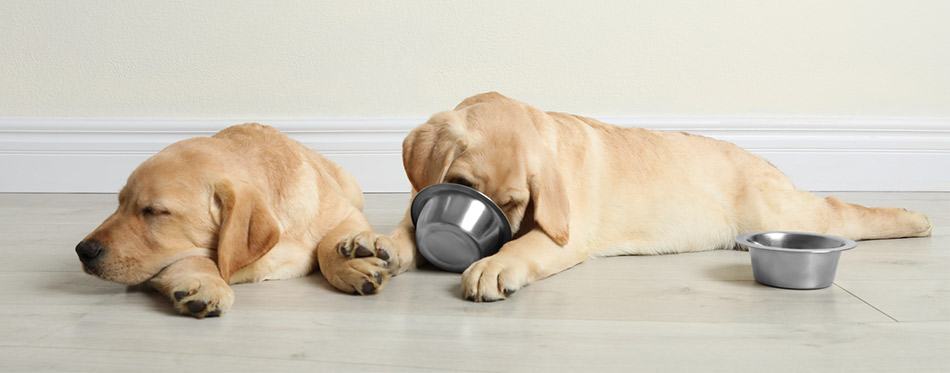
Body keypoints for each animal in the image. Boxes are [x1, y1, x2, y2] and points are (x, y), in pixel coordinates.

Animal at [75, 123, 402, 316]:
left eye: (154, 211)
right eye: (119, 203)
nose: (83, 250)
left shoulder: (348, 212)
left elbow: (327, 243)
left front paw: (350, 262)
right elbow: (192, 259)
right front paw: (203, 282)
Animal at [364, 92, 936, 302]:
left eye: (514, 204)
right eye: (461, 187)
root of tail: (763, 160)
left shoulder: (562, 236)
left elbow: (521, 245)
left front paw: (491, 266)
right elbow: (407, 226)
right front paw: (379, 245)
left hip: (791, 210)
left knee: (843, 211)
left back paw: (917, 218)